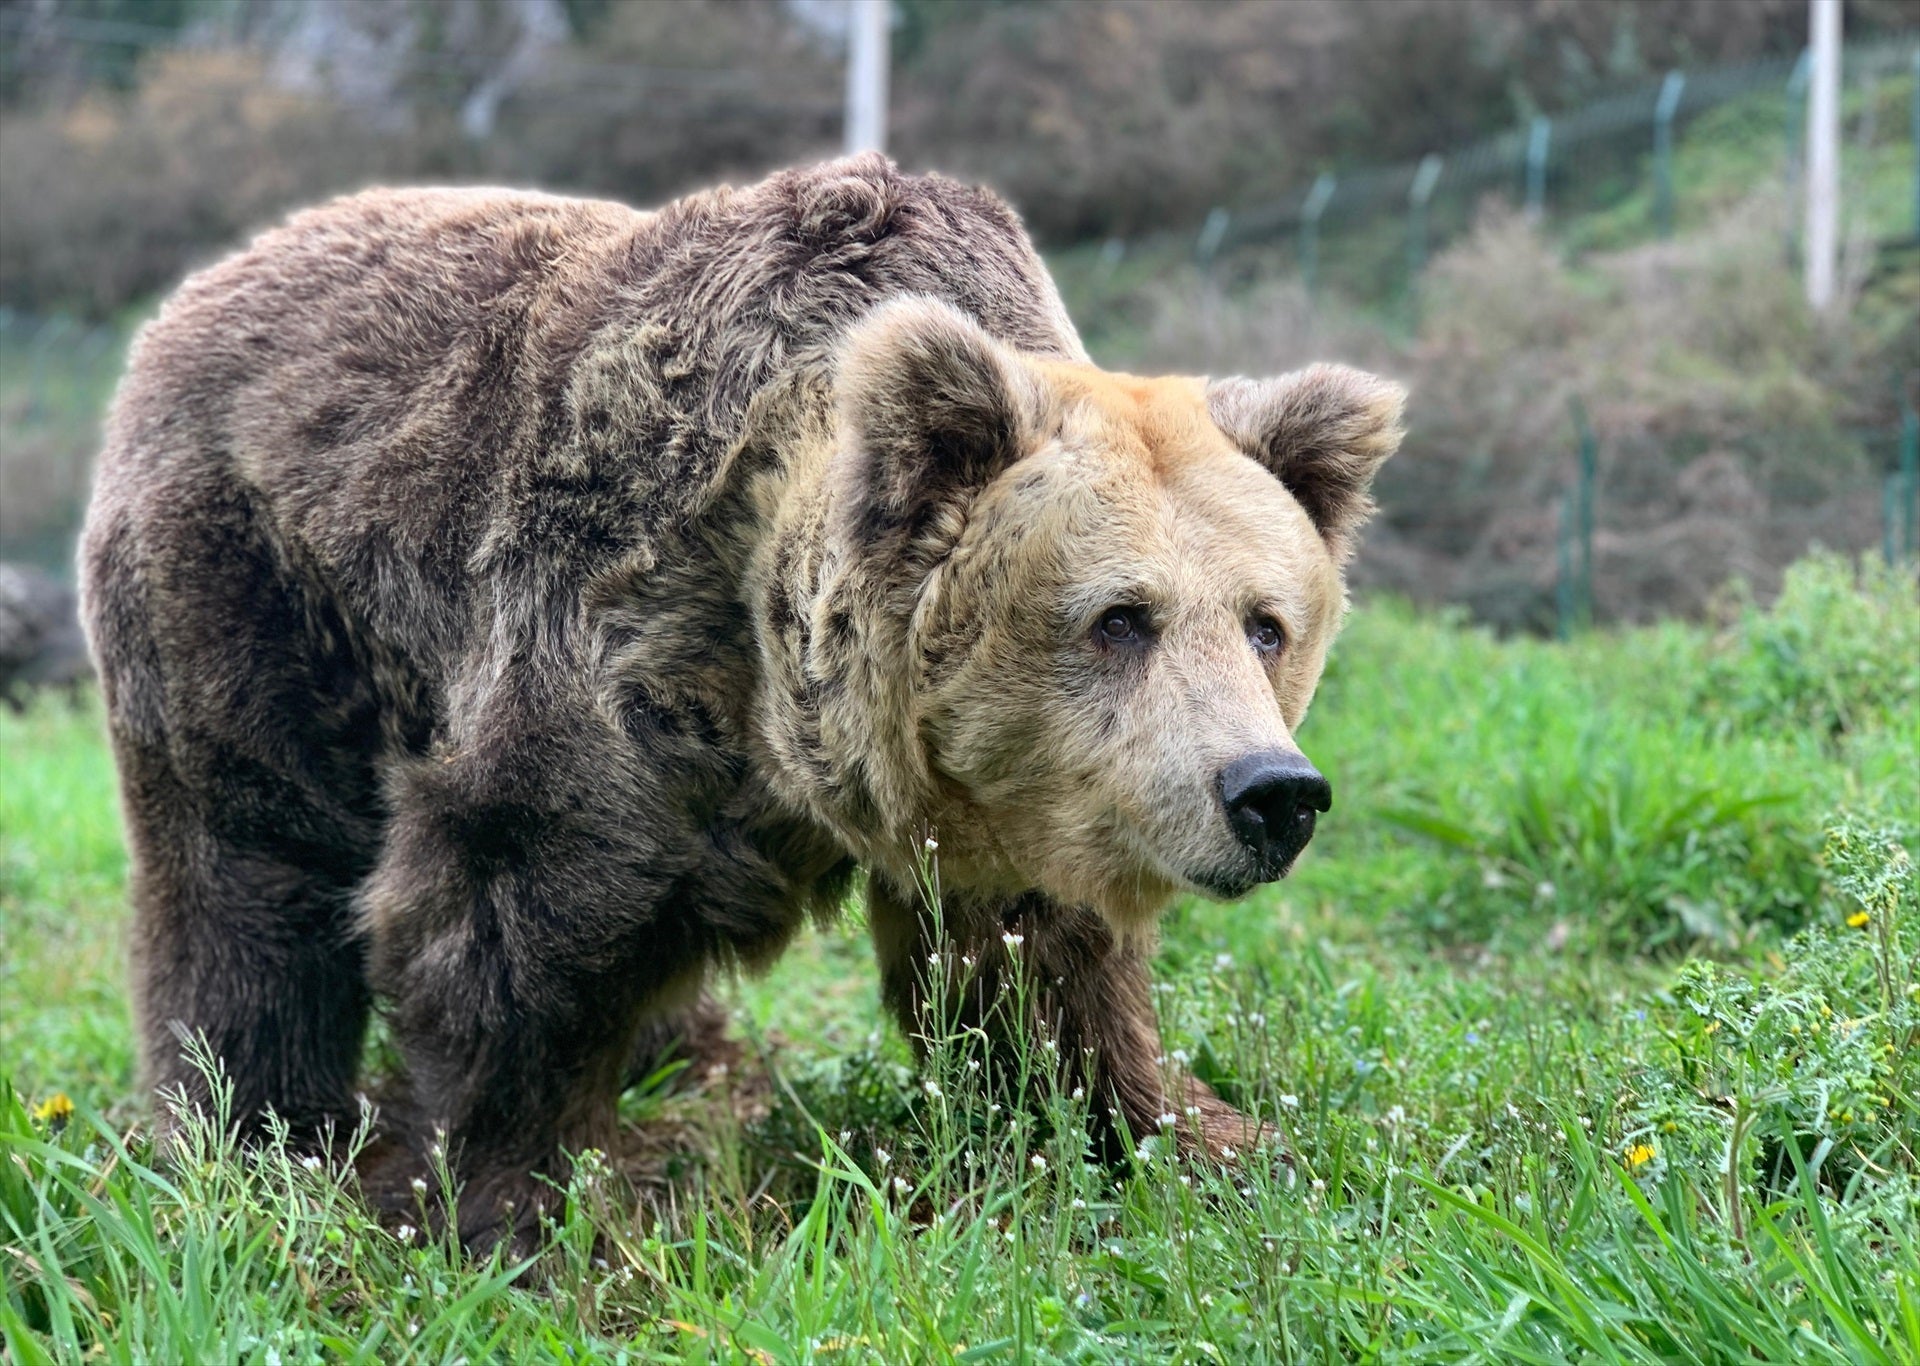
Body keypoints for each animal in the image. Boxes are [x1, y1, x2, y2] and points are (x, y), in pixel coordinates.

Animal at [80, 154, 1403, 1250]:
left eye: (1267, 622)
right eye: (1120, 616)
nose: (1271, 792)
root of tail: (201, 288)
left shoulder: (1019, 800)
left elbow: (1040, 980)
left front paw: (1205, 1141)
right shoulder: (609, 641)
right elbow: (504, 923)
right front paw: (509, 1208)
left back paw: (688, 1057)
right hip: (253, 590)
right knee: (250, 874)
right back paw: (259, 1138)